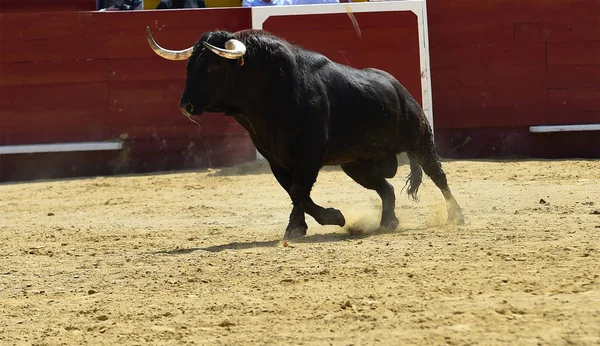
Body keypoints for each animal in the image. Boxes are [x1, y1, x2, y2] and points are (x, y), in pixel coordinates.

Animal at [145, 27, 464, 239]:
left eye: (212, 67)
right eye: (190, 66)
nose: (186, 105)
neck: (270, 94)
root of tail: (399, 88)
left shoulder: (308, 155)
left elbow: (299, 190)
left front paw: (296, 228)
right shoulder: (276, 160)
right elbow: (294, 191)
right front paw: (333, 217)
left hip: (420, 139)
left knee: (438, 175)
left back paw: (456, 215)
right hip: (356, 164)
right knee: (386, 189)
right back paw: (388, 222)